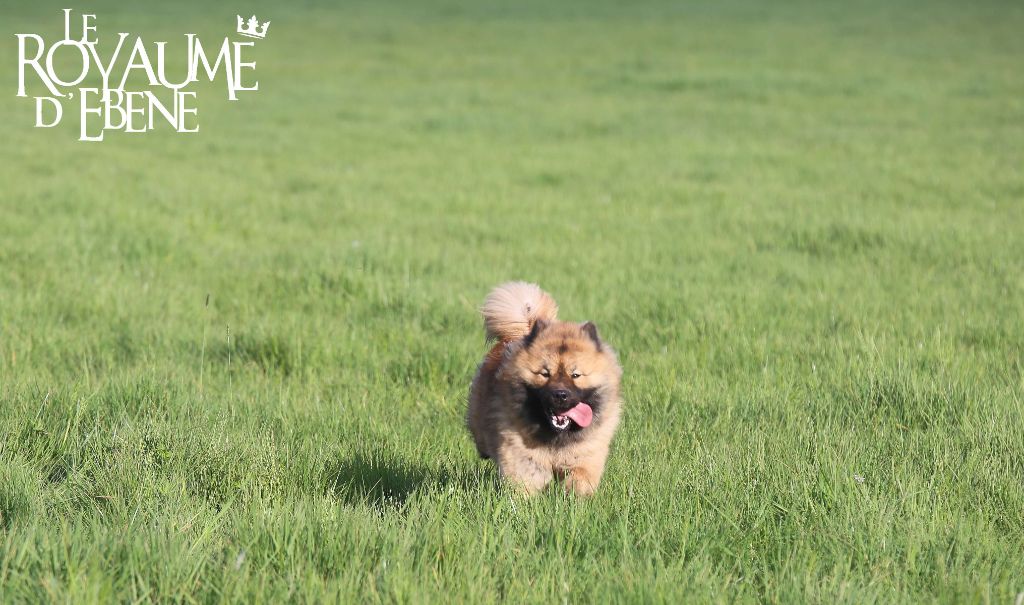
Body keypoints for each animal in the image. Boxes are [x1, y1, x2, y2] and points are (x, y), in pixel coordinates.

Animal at [466, 282, 622, 495]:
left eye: (576, 375)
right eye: (545, 374)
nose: (561, 395)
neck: (556, 436)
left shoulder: (587, 451)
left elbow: (580, 476)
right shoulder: (520, 451)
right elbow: (527, 476)